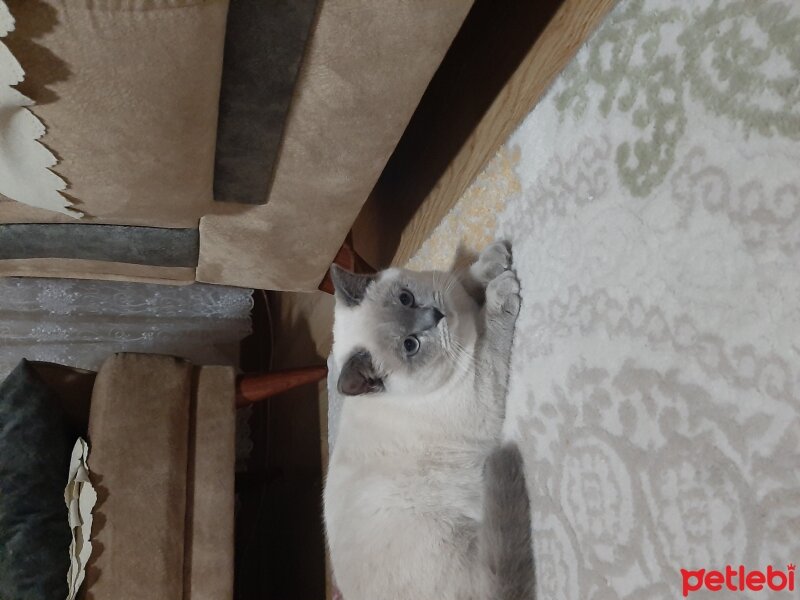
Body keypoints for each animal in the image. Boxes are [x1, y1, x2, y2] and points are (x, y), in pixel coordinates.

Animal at [322, 243, 536, 600]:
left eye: (406, 298)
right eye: (411, 345)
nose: (436, 316)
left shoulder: (451, 290)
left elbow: (462, 276)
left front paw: (494, 260)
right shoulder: (480, 381)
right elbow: (489, 330)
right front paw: (501, 290)